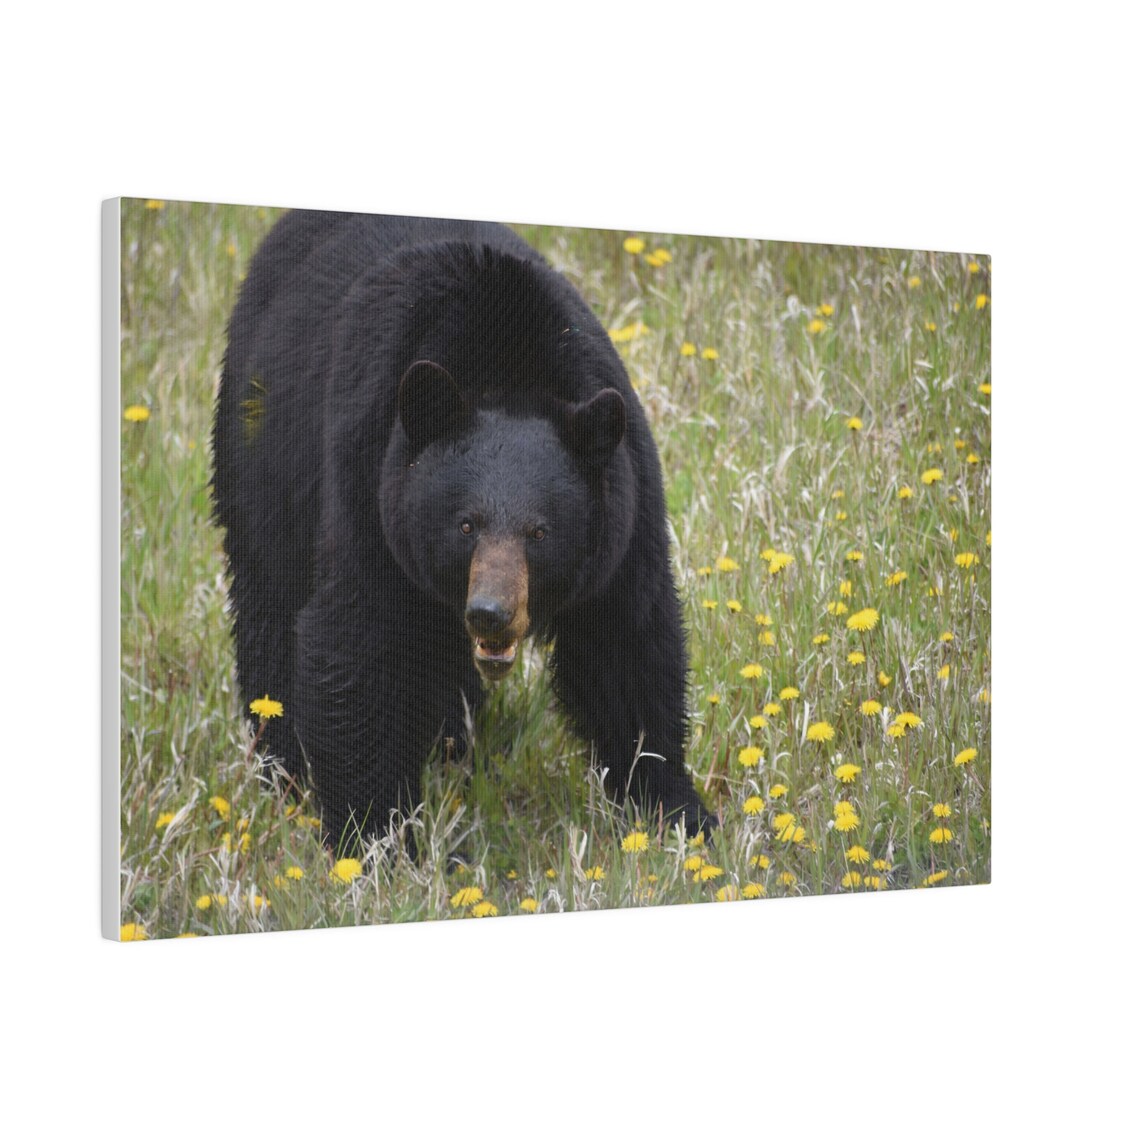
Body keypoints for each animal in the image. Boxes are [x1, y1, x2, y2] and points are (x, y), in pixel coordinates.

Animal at [212, 208, 713, 850]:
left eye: (539, 533)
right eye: (466, 524)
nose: (490, 613)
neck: (506, 364)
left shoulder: (625, 508)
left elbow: (628, 640)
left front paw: (678, 811)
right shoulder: (368, 476)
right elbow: (357, 639)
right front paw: (377, 838)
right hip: (261, 449)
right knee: (269, 601)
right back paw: (283, 770)